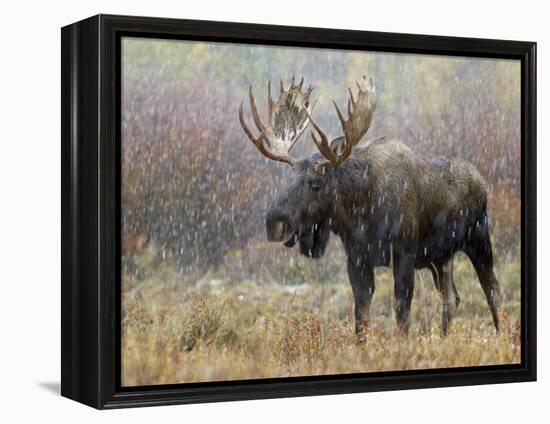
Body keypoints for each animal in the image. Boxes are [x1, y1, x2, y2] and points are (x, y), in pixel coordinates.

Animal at [239, 75, 502, 338]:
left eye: (316, 183)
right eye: (290, 178)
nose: (273, 222)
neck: (360, 211)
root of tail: (481, 181)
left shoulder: (404, 250)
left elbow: (402, 312)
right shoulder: (357, 258)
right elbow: (361, 317)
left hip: (479, 239)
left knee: (493, 290)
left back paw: (502, 334)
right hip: (441, 257)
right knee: (451, 298)